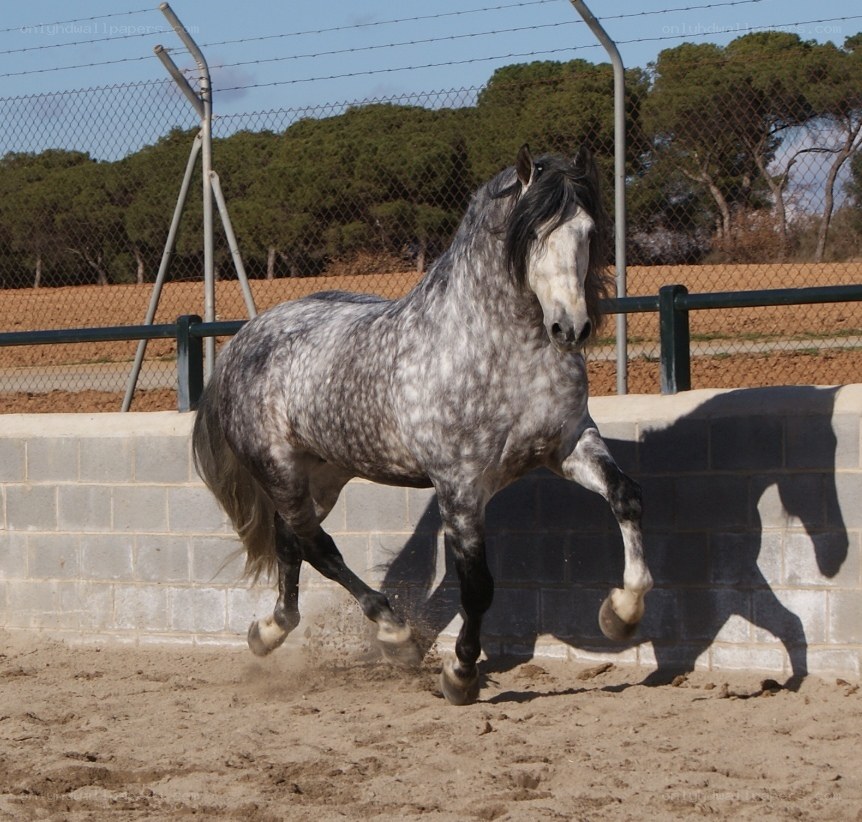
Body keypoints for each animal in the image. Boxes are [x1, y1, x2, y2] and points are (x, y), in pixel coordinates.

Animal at [192, 145, 653, 705]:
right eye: (532, 235)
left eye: (586, 231)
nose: (571, 327)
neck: (500, 351)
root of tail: (243, 340)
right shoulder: (460, 486)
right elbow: (477, 585)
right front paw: (460, 675)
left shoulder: (568, 445)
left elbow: (626, 497)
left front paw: (621, 613)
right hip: (278, 470)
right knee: (317, 545)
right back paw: (396, 634)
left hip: (322, 474)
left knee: (291, 540)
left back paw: (270, 631)